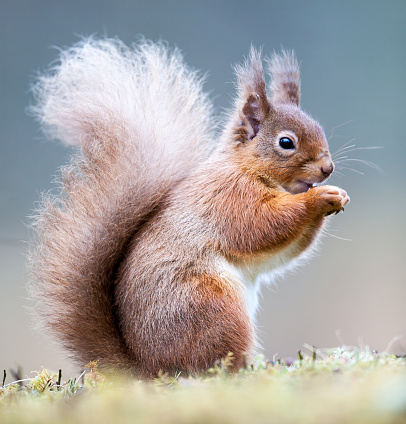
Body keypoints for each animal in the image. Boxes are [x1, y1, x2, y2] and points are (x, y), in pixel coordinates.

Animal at [29, 38, 348, 380]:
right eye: (286, 142)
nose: (327, 168)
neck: (245, 167)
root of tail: (147, 368)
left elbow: (281, 252)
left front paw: (338, 196)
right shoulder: (229, 199)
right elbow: (262, 226)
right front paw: (320, 198)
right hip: (211, 305)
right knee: (210, 365)